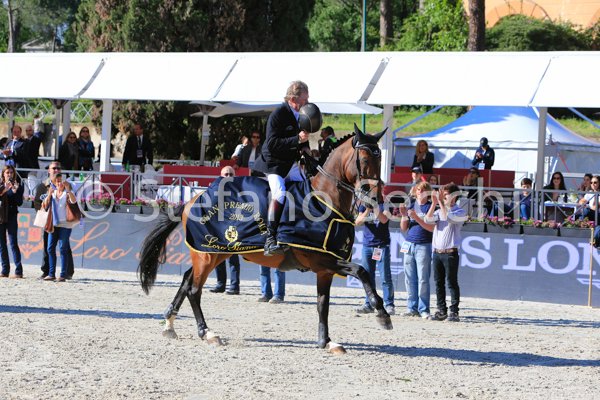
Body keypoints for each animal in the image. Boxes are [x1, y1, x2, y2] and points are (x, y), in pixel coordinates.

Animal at [138, 124, 392, 354]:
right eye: (364, 159)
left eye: (380, 159)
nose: (375, 198)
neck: (324, 201)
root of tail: (194, 198)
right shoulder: (323, 260)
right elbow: (362, 271)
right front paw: (382, 314)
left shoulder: (325, 269)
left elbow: (323, 304)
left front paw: (327, 342)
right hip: (207, 254)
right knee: (193, 289)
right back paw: (207, 333)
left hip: (215, 253)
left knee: (186, 280)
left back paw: (170, 325)